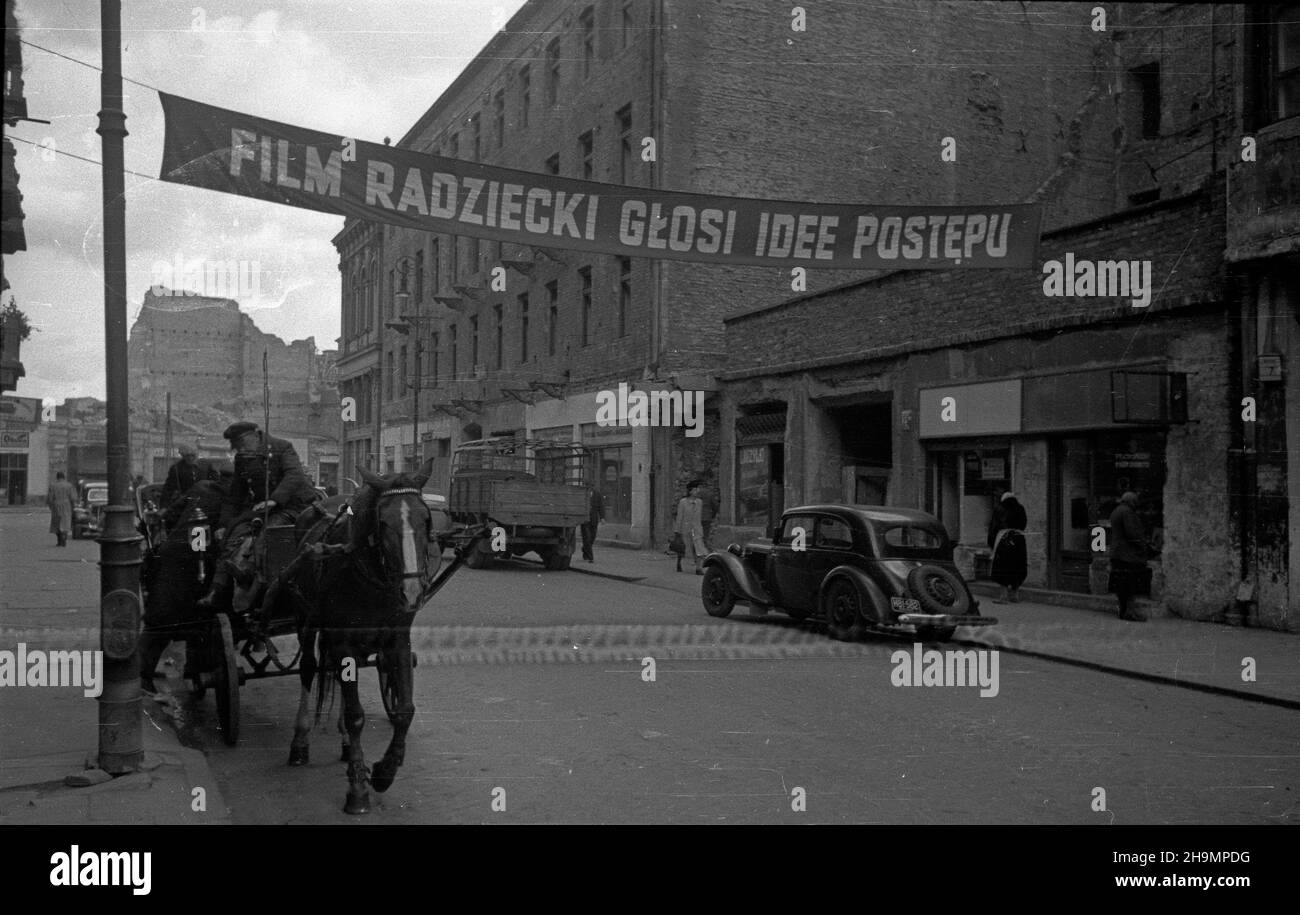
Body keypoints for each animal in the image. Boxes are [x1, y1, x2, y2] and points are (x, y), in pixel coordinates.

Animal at [276, 460, 470, 811]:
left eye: (426, 519)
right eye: (383, 522)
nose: (412, 592)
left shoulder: (397, 643)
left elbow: (405, 710)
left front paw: (384, 771)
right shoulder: (344, 643)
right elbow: (356, 716)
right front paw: (358, 789)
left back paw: (342, 742)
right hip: (304, 619)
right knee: (309, 669)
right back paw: (300, 741)